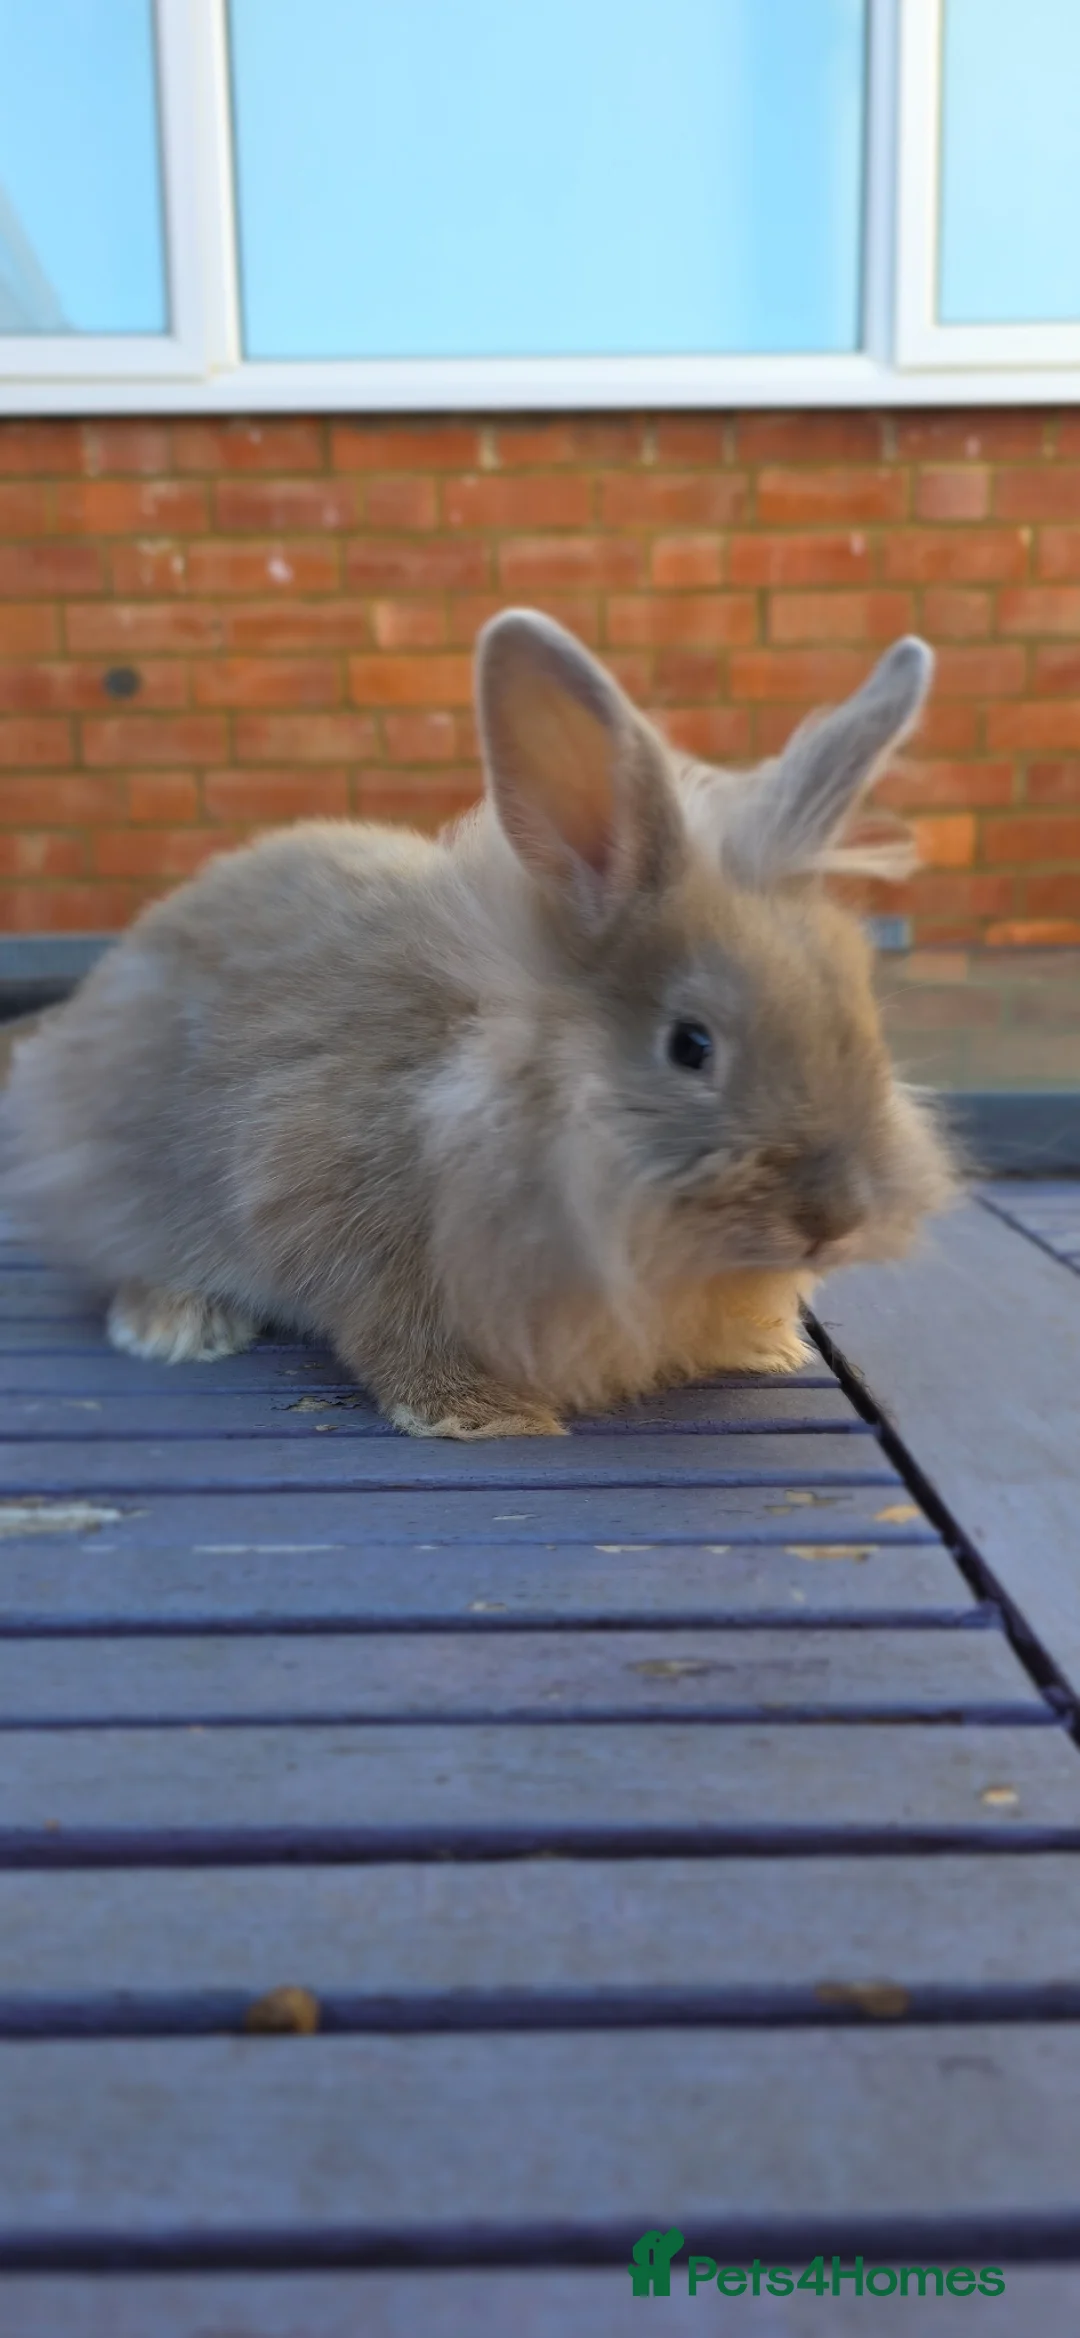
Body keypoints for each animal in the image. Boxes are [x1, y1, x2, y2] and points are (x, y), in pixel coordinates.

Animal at [1, 610, 955, 1438]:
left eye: (860, 1011)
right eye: (691, 1047)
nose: (834, 1217)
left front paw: (769, 1348)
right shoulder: (342, 1212)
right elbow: (396, 1333)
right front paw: (482, 1417)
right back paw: (174, 1325)